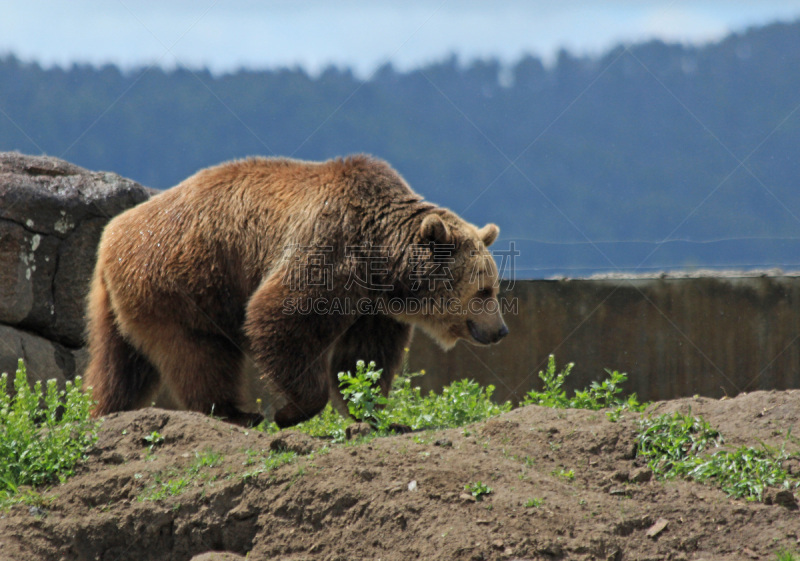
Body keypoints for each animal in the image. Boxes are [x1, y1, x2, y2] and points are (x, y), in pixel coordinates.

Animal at [84, 155, 510, 426]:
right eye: (484, 291)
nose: (501, 330)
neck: (379, 258)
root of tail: (112, 234)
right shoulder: (328, 249)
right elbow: (280, 317)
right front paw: (290, 412)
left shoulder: (372, 306)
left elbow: (363, 357)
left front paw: (374, 411)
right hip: (184, 280)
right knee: (200, 354)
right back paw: (237, 413)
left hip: (124, 301)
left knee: (121, 364)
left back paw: (104, 410)